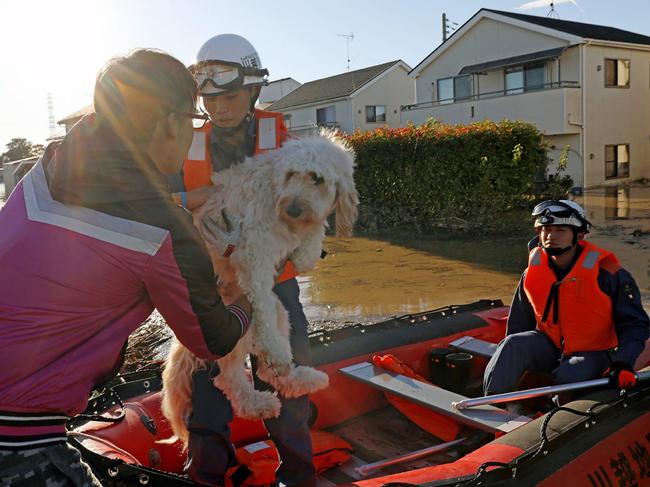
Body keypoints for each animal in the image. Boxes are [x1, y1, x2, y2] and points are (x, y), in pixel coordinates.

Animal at [159, 130, 356, 446]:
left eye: (317, 178)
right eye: (291, 174)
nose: (292, 209)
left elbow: (313, 232)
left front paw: (307, 251)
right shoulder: (253, 256)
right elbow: (260, 301)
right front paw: (276, 351)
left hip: (277, 313)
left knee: (263, 369)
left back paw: (301, 379)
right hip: (224, 328)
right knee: (229, 377)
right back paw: (260, 400)